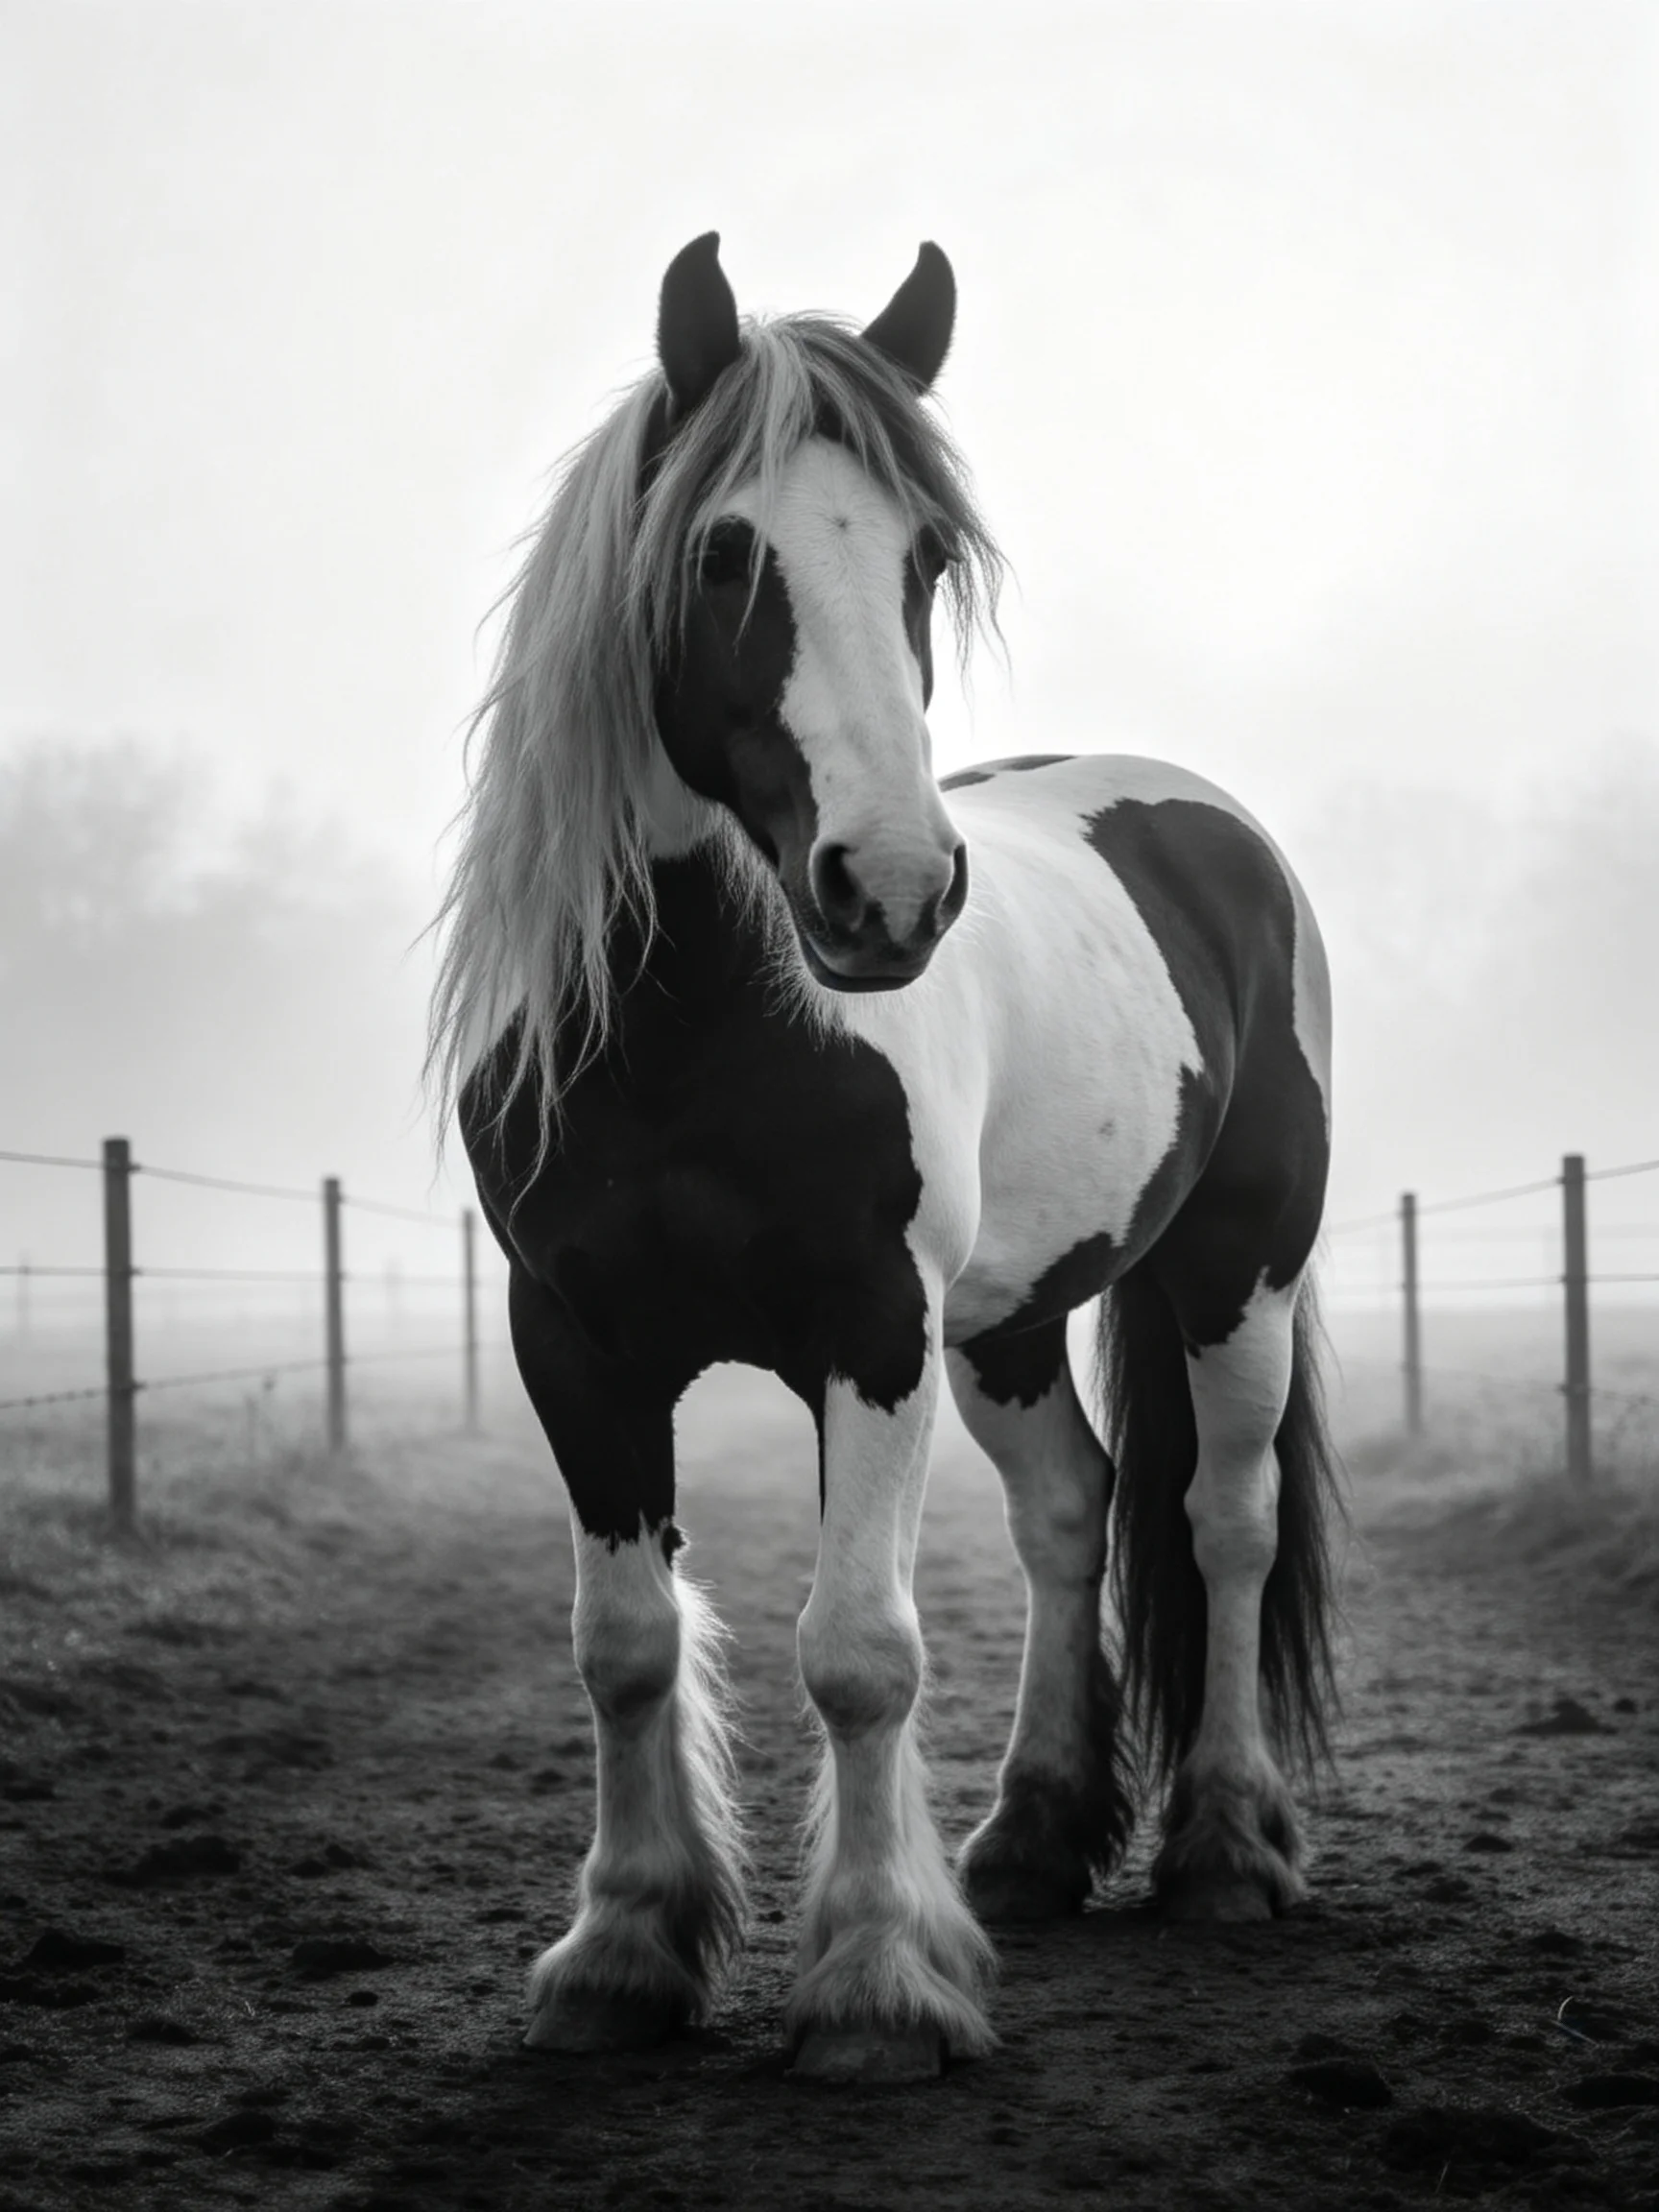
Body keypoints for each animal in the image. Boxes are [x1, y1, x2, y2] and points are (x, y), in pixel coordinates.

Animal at [432, 233, 1341, 2084]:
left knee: (1222, 1521)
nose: (894, 892)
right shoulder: (573, 1336)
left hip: (1239, 1272)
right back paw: (1031, 1844)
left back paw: (1222, 1848)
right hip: (1006, 1325)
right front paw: (620, 1954)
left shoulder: (870, 1332)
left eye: (922, 558)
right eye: (723, 551)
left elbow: (858, 1655)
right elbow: (623, 1644)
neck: (695, 1025)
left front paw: (869, 1986)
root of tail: (1211, 826)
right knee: (1073, 1514)